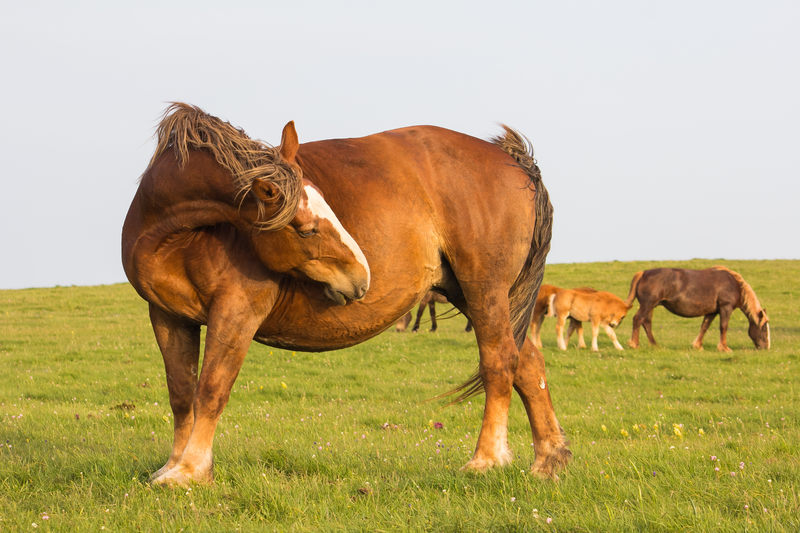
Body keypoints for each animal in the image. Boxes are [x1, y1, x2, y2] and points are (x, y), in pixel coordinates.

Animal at [120, 103, 568, 486]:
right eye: (306, 228)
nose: (361, 277)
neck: (177, 238)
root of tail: (512, 160)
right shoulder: (168, 316)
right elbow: (182, 394)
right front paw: (172, 466)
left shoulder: (236, 312)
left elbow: (212, 389)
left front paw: (190, 471)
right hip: (475, 295)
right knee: (528, 364)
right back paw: (547, 460)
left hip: (484, 289)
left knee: (499, 362)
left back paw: (486, 459)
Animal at [624, 264, 768, 350]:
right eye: (764, 328)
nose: (765, 347)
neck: (734, 284)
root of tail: (643, 273)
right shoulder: (725, 308)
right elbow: (723, 327)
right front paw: (724, 348)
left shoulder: (712, 312)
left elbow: (704, 327)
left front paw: (698, 346)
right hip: (648, 304)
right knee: (638, 319)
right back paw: (634, 344)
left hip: (650, 306)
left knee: (646, 322)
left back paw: (654, 345)